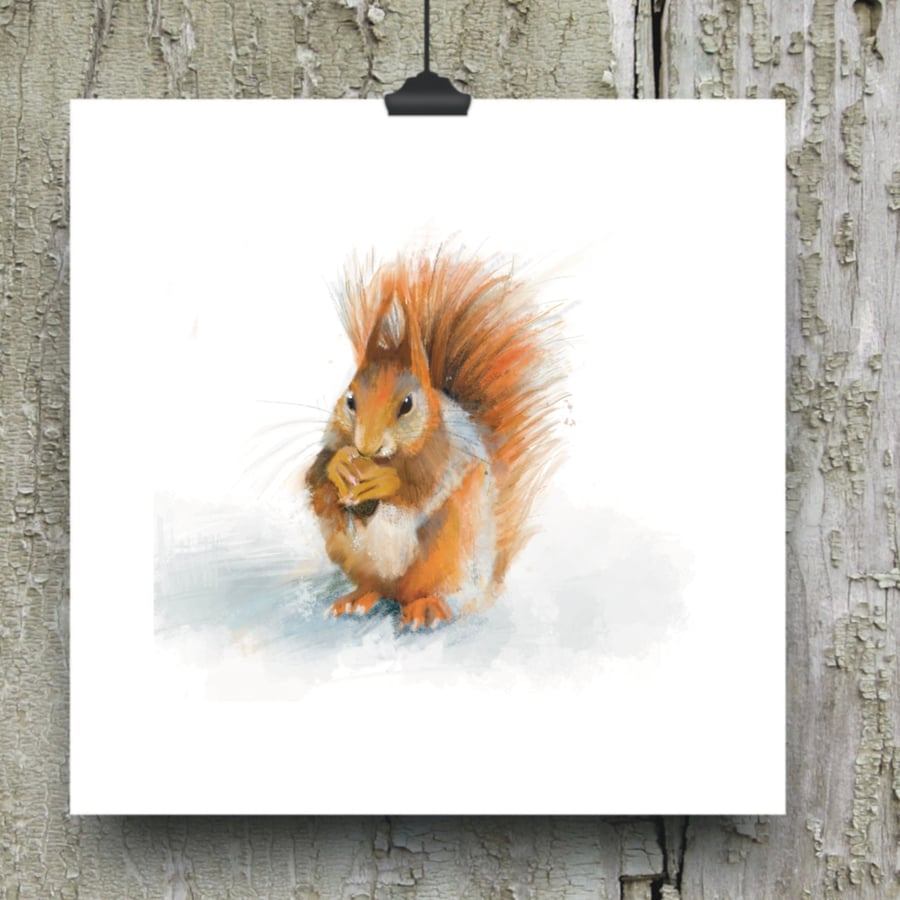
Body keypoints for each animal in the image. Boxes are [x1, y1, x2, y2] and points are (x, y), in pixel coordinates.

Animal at [305, 245, 566, 630]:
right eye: (350, 400)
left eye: (407, 404)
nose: (366, 446)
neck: (390, 454)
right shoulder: (333, 440)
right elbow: (315, 479)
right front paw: (340, 467)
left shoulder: (448, 453)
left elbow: (421, 485)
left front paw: (384, 480)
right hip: (351, 552)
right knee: (376, 586)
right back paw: (357, 598)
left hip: (447, 549)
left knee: (422, 589)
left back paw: (425, 608)